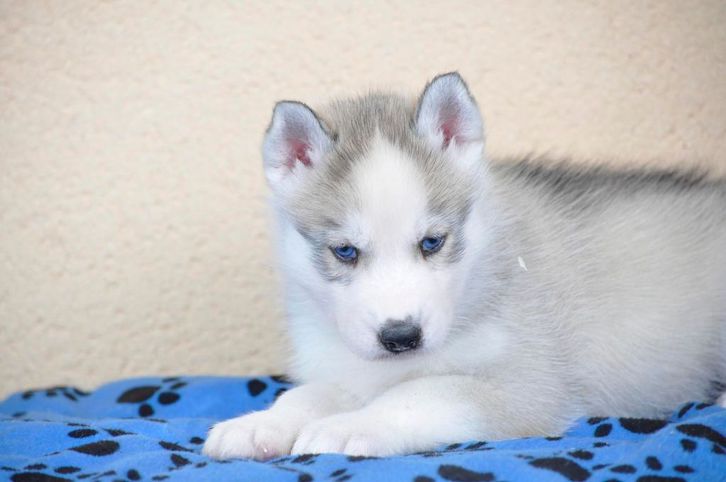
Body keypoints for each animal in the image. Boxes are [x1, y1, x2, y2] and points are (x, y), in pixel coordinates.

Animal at [205, 72, 726, 460]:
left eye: (432, 242)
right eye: (345, 251)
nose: (401, 337)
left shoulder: (525, 385)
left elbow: (421, 393)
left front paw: (350, 426)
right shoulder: (351, 370)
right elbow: (307, 393)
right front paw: (260, 424)